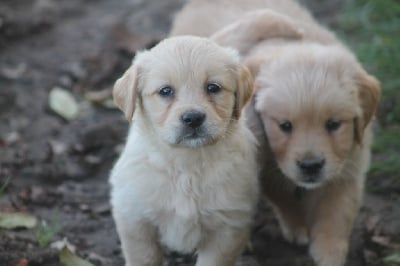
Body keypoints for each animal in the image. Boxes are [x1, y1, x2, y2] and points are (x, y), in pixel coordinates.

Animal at [109, 35, 260, 266]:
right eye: (165, 91)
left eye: (213, 87)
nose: (193, 118)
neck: (187, 163)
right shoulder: (133, 216)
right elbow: (144, 257)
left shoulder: (229, 226)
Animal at [171, 1, 382, 264]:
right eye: (285, 126)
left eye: (334, 124)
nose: (311, 166)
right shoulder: (261, 165)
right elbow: (282, 196)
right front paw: (297, 225)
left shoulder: (350, 163)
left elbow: (337, 213)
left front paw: (329, 253)